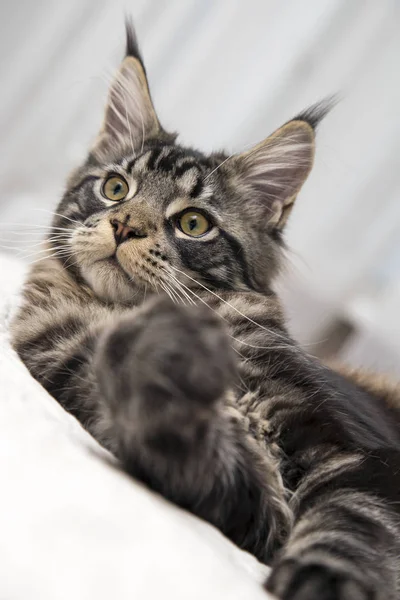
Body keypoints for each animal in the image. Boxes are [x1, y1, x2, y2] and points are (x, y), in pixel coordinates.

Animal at [11, 21, 400, 596]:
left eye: (194, 223)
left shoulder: (358, 451)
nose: (123, 225)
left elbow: (353, 521)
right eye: (114, 188)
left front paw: (323, 579)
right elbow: (205, 460)